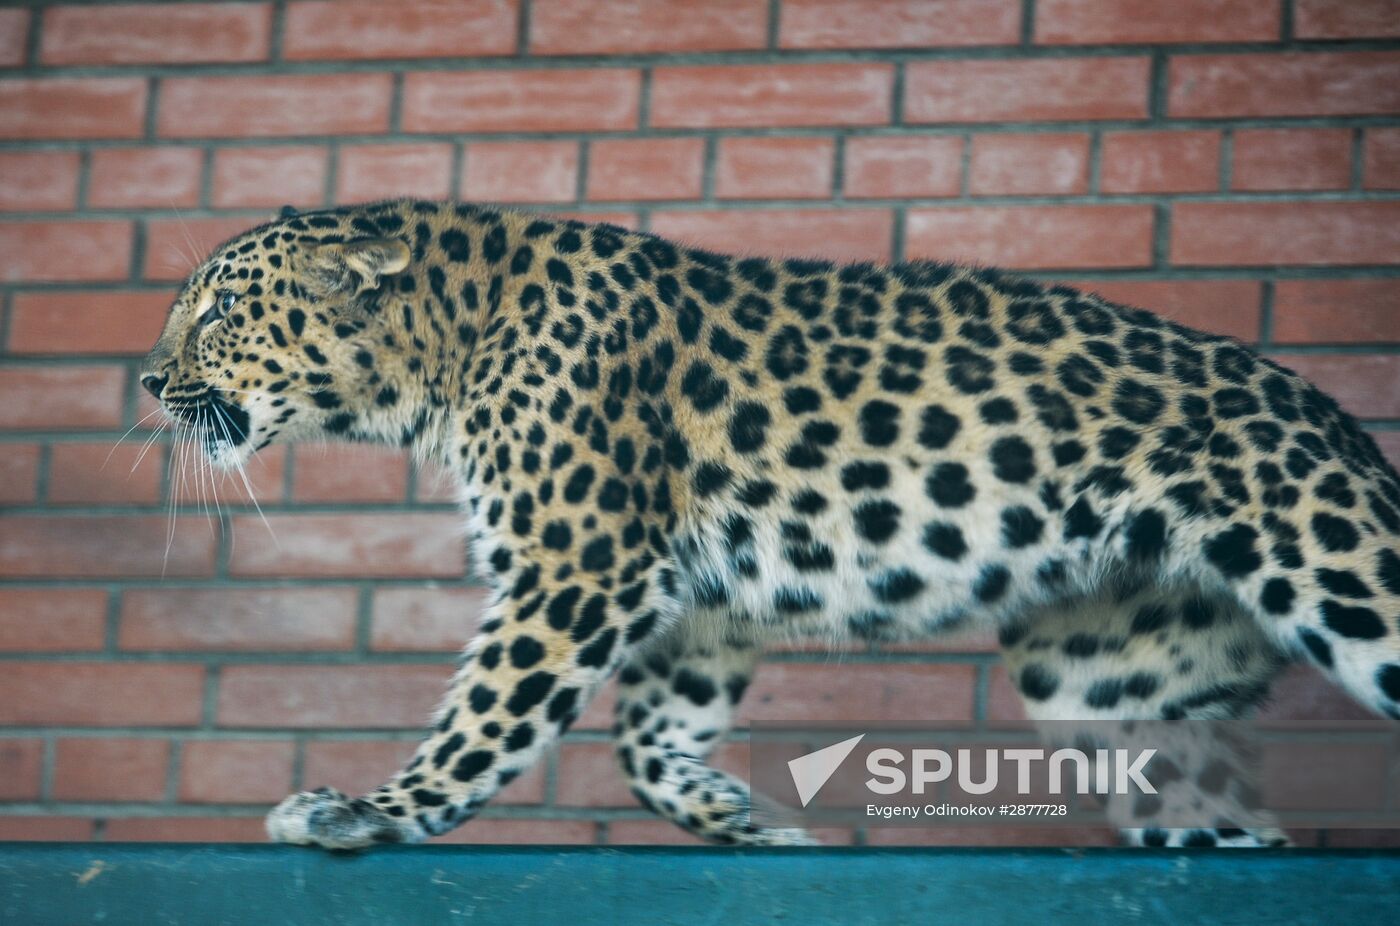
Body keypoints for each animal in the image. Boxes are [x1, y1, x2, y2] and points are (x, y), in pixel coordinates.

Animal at [139, 198, 1400, 846]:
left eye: (220, 308)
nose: (146, 379)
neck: (443, 358)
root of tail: (1328, 410)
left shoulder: (575, 568)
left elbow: (484, 715)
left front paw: (374, 807)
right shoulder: (695, 599)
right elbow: (646, 738)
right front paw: (735, 816)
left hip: (1334, 564)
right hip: (1098, 674)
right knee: (1208, 802)